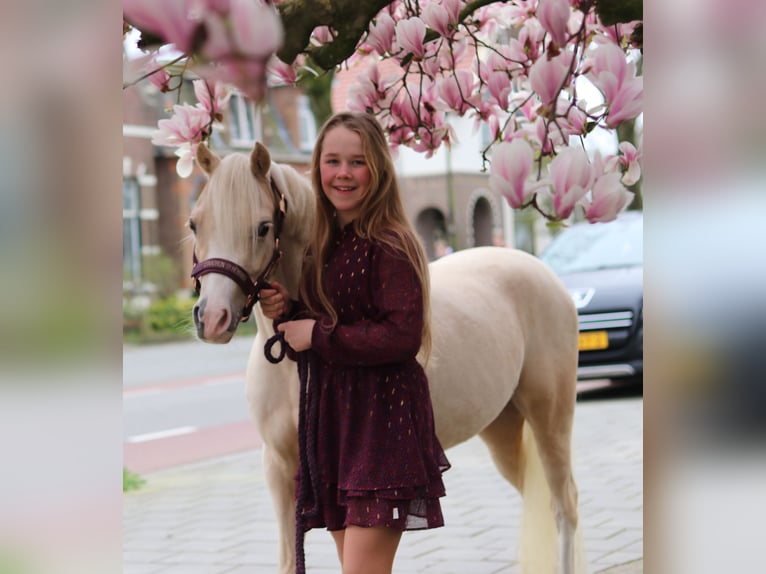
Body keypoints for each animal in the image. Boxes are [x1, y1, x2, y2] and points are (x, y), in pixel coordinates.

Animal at [189, 141, 584, 574]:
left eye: (262, 227)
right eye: (194, 224)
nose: (212, 319)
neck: (295, 364)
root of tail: (544, 272)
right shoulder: (279, 468)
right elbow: (290, 561)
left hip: (550, 417)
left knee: (563, 505)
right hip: (502, 425)